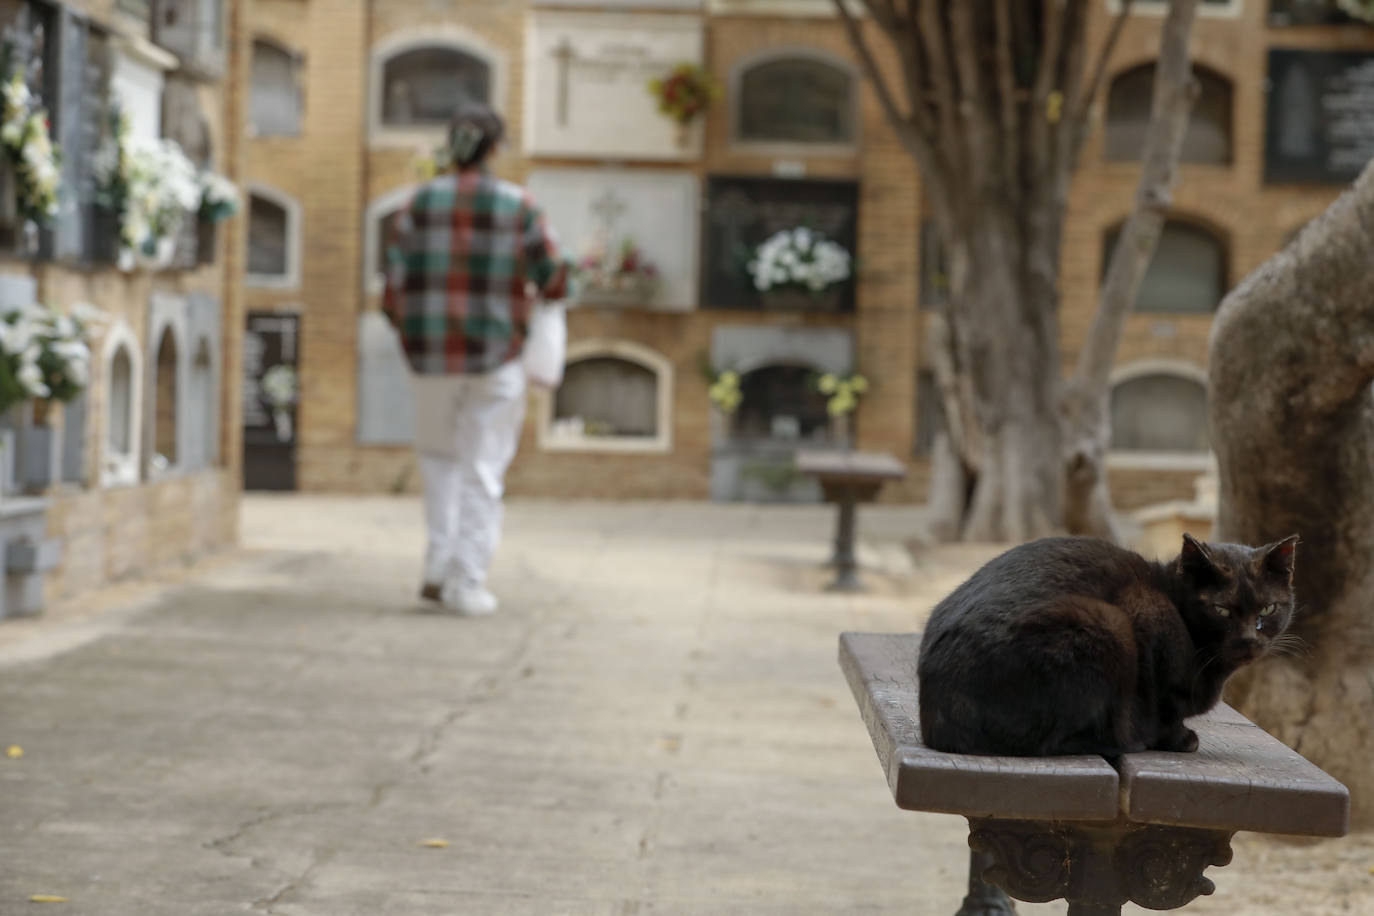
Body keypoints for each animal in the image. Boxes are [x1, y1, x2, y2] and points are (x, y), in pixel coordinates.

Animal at [917, 532, 1291, 758]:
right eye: (1222, 610)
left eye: (1268, 609)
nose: (1249, 639)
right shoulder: (1144, 612)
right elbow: (1166, 709)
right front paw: (1180, 739)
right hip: (1107, 624)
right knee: (1048, 742)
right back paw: (1125, 742)